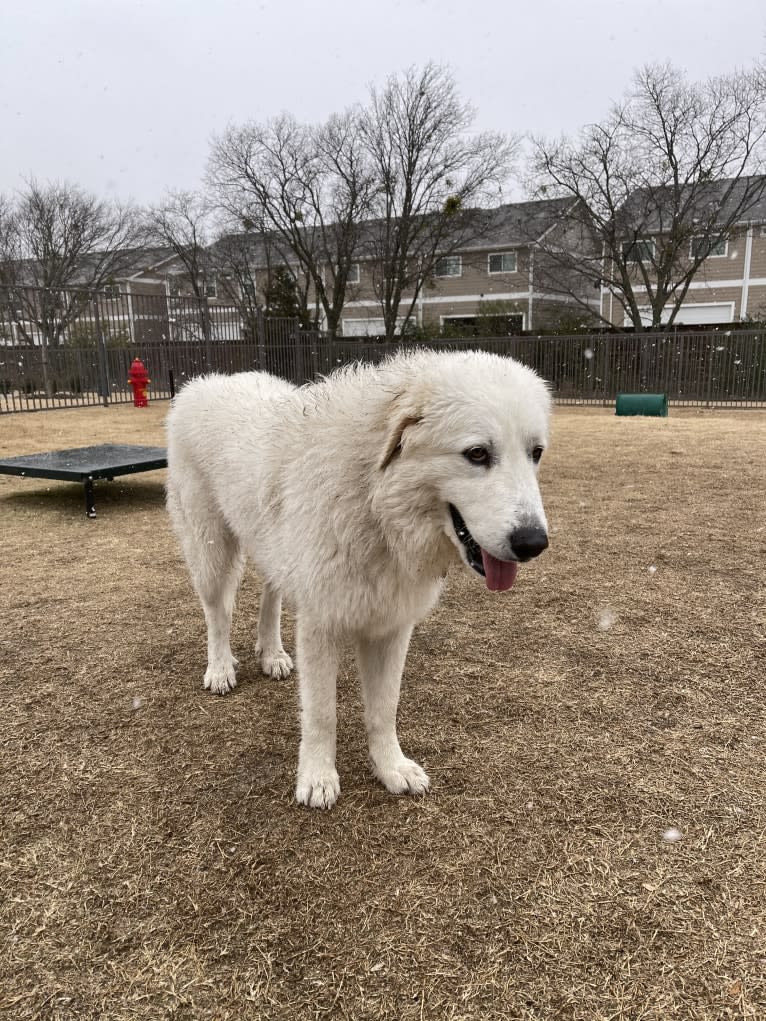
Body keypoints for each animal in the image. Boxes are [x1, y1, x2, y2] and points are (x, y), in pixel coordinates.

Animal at [166, 351, 551, 804]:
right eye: (477, 454)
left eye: (536, 453)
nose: (534, 542)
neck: (375, 501)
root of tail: (207, 381)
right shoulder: (321, 625)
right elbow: (321, 713)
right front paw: (317, 778)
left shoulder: (392, 627)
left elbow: (384, 709)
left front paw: (391, 768)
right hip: (210, 549)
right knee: (217, 612)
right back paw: (220, 668)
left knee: (270, 595)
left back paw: (272, 653)